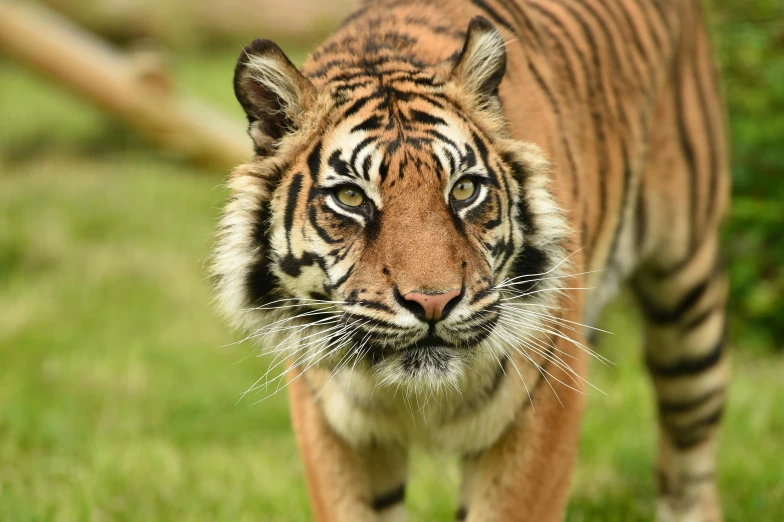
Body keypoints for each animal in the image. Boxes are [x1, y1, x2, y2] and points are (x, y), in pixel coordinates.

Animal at [210, 0, 728, 516]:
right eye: (351, 198)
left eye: (463, 190)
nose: (433, 303)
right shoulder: (331, 423)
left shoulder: (544, 404)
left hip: (687, 305)